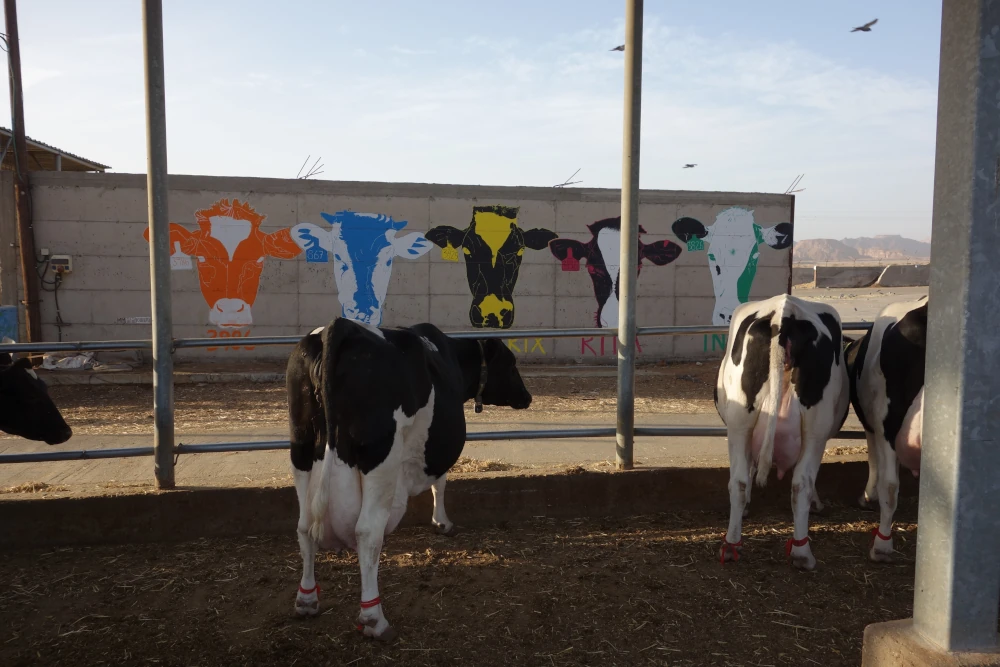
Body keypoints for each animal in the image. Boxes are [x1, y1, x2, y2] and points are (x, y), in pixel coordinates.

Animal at [286, 320, 532, 640]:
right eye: (512, 363)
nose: (527, 397)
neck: (451, 355)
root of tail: (341, 326)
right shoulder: (436, 446)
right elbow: (440, 481)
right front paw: (442, 523)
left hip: (301, 447)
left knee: (304, 527)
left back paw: (306, 600)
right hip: (381, 456)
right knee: (367, 531)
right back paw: (374, 619)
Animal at [716, 294, 848, 572]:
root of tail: (783, 314)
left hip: (740, 422)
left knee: (740, 481)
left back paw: (733, 545)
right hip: (814, 430)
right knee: (801, 482)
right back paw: (802, 552)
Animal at [844, 298, 928, 564]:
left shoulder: (874, 426)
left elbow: (874, 461)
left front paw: (867, 495)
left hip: (888, 421)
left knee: (890, 486)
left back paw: (881, 546)